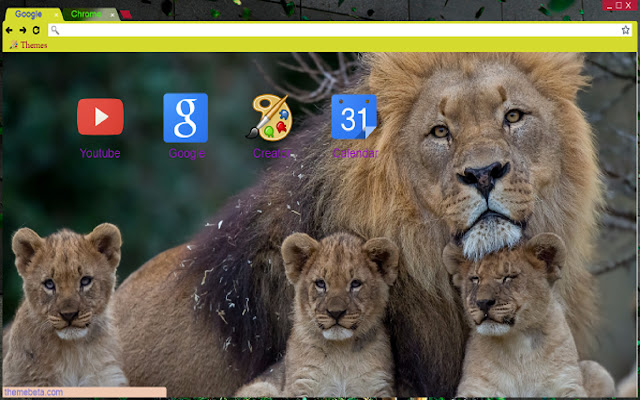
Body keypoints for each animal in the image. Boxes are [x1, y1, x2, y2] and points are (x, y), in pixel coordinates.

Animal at [235, 232, 398, 397]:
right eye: (320, 283)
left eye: (355, 283)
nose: (336, 313)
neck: (342, 351)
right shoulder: (301, 383)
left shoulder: (378, 385)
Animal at [443, 233, 614, 397]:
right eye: (475, 279)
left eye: (508, 277)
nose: (483, 303)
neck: (518, 345)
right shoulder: (476, 388)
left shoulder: (567, 384)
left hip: (597, 370)